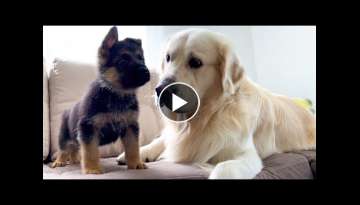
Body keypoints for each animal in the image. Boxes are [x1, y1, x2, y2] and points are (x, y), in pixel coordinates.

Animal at [51, 26, 150, 175]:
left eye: (141, 58)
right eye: (123, 61)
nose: (146, 72)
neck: (116, 93)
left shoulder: (130, 127)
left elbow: (133, 148)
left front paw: (136, 163)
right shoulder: (88, 128)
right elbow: (90, 151)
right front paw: (92, 169)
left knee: (74, 149)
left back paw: (75, 160)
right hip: (65, 135)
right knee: (63, 149)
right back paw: (60, 161)